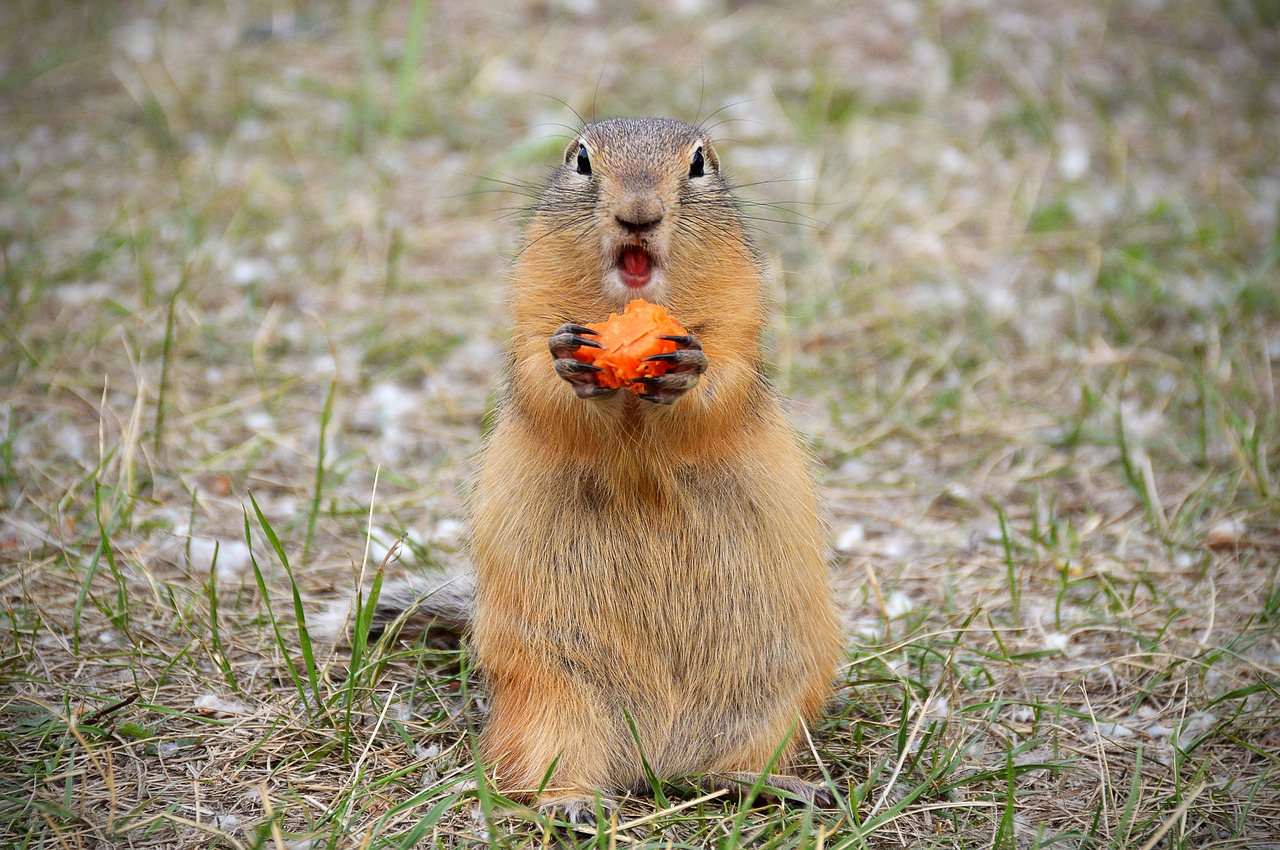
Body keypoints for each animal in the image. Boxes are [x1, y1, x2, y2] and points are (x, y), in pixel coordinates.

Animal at [322, 116, 839, 819]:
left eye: (699, 163)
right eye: (581, 160)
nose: (639, 213)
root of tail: (658, 762)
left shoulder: (740, 320)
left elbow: (724, 383)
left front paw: (685, 369)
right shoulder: (529, 313)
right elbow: (544, 382)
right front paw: (573, 362)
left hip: (778, 700)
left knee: (727, 769)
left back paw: (783, 785)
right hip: (552, 697)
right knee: (533, 771)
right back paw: (575, 805)